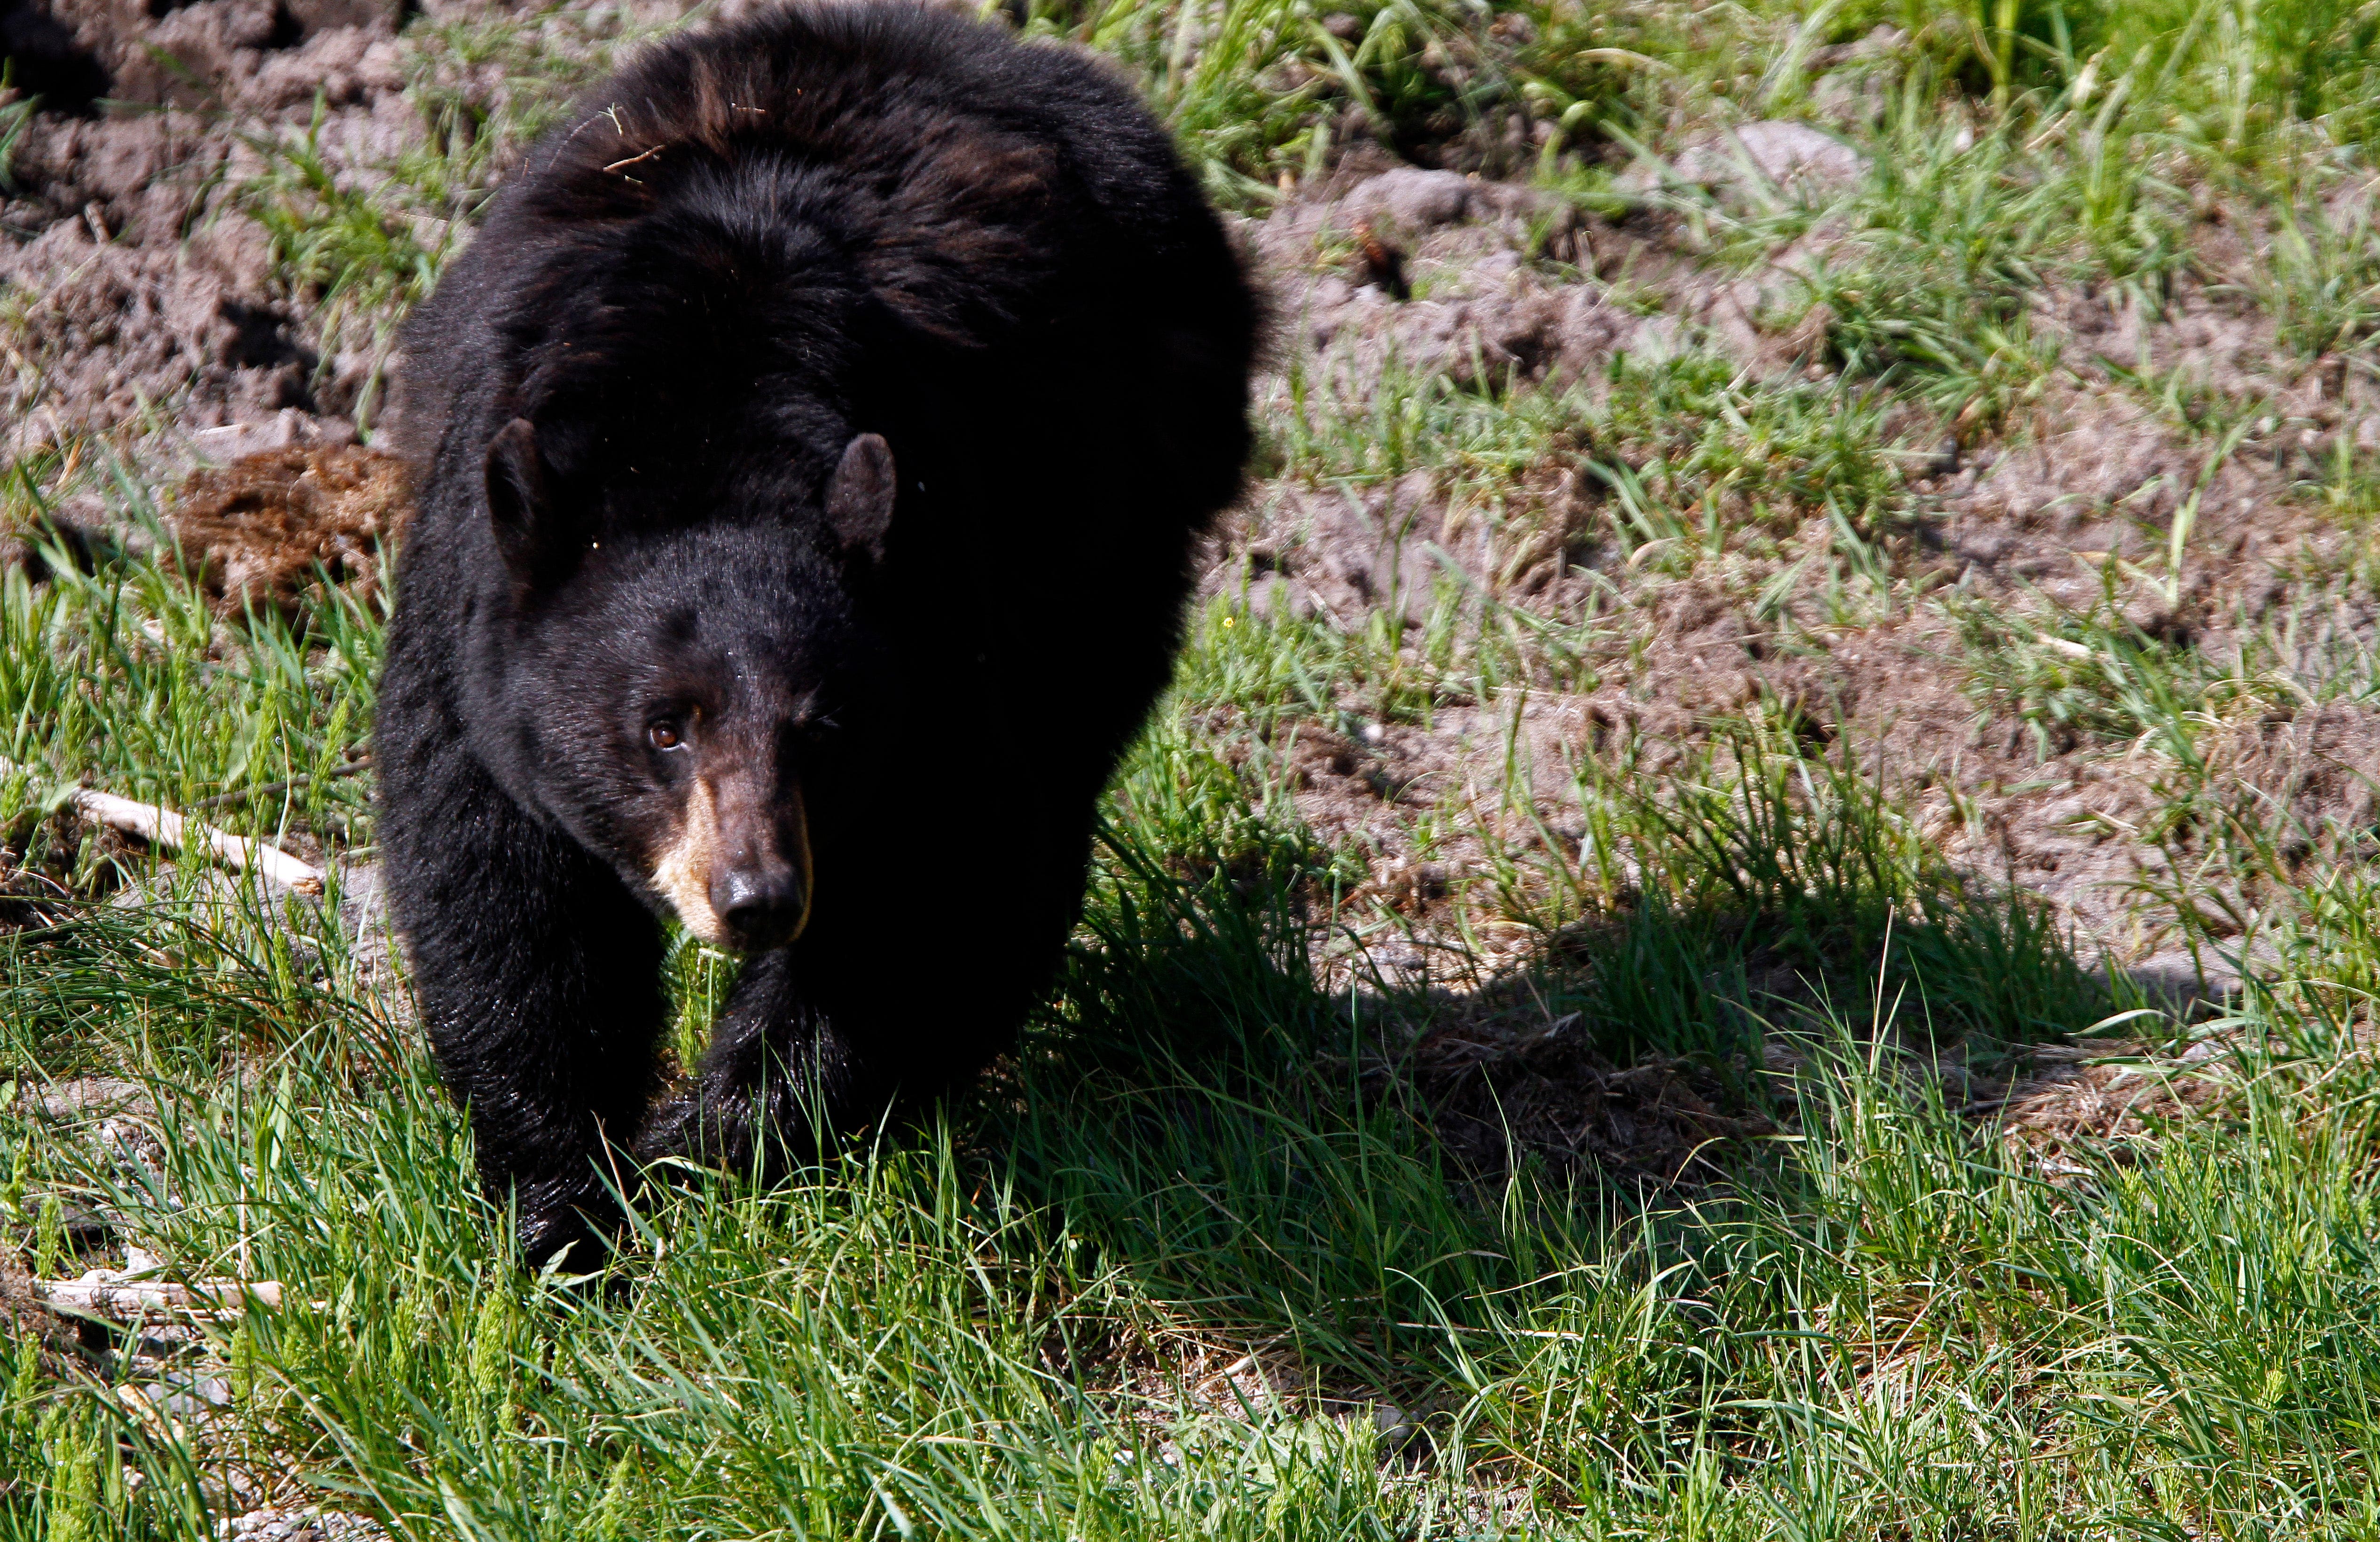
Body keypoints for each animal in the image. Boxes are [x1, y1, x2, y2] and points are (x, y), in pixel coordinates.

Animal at [371, 3, 1256, 1266]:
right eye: (663, 727)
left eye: (825, 728)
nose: (756, 897)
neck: (707, 414)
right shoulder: (470, 602)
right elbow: (496, 883)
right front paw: (559, 1201)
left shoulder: (939, 595)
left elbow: (954, 875)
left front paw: (699, 1147)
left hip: (1122, 513)